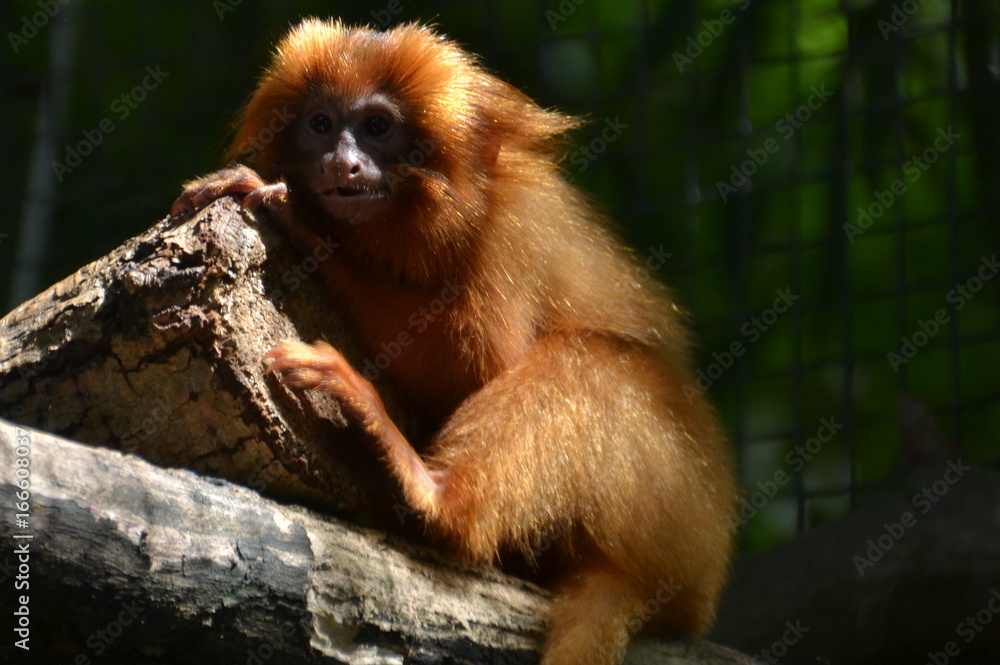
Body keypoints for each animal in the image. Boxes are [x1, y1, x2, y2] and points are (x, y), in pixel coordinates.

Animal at [172, 19, 737, 665]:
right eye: (320, 124)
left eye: (377, 127)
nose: (343, 164)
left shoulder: (506, 232)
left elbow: (477, 358)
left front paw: (306, 222)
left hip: (674, 509)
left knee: (594, 363)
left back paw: (429, 488)